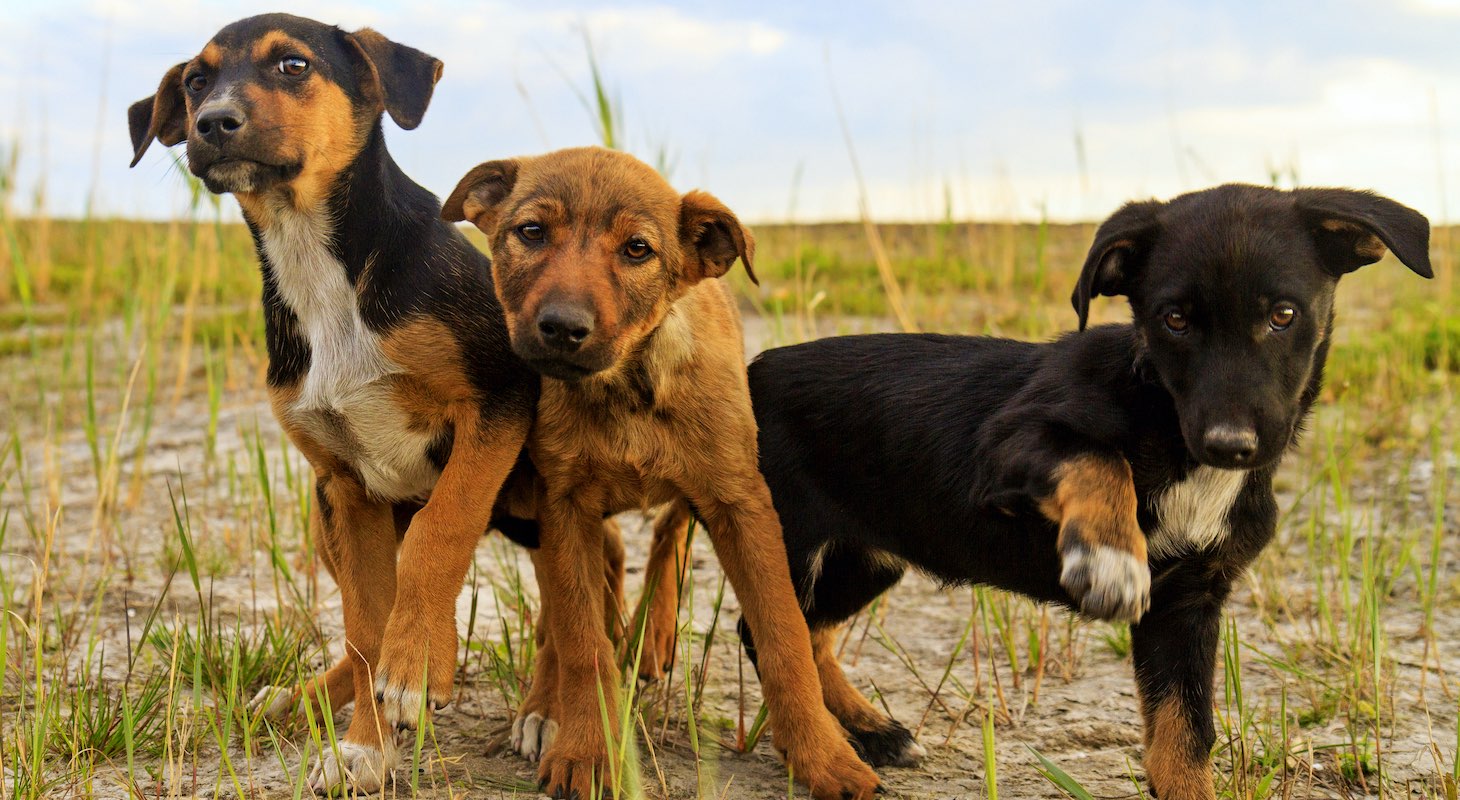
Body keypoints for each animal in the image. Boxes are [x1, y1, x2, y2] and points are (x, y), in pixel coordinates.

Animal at [440, 148, 876, 800]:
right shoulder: (564, 504)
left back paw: (651, 634)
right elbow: (581, 639)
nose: (563, 326)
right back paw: (547, 703)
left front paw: (823, 755)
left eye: (637, 249)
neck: (625, 383)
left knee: (668, 534)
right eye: (532, 231)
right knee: (581, 597)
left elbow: (785, 638)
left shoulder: (741, 503)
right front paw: (587, 748)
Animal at [747, 186, 1430, 800]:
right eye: (1174, 320)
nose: (1229, 444)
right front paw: (1108, 557)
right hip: (789, 544)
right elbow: (1100, 458)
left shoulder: (1188, 604)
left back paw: (872, 732)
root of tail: (751, 367)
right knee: (770, 640)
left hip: (866, 559)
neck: (1169, 426)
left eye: (1283, 315)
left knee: (808, 636)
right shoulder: (1004, 446)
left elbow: (1185, 739)